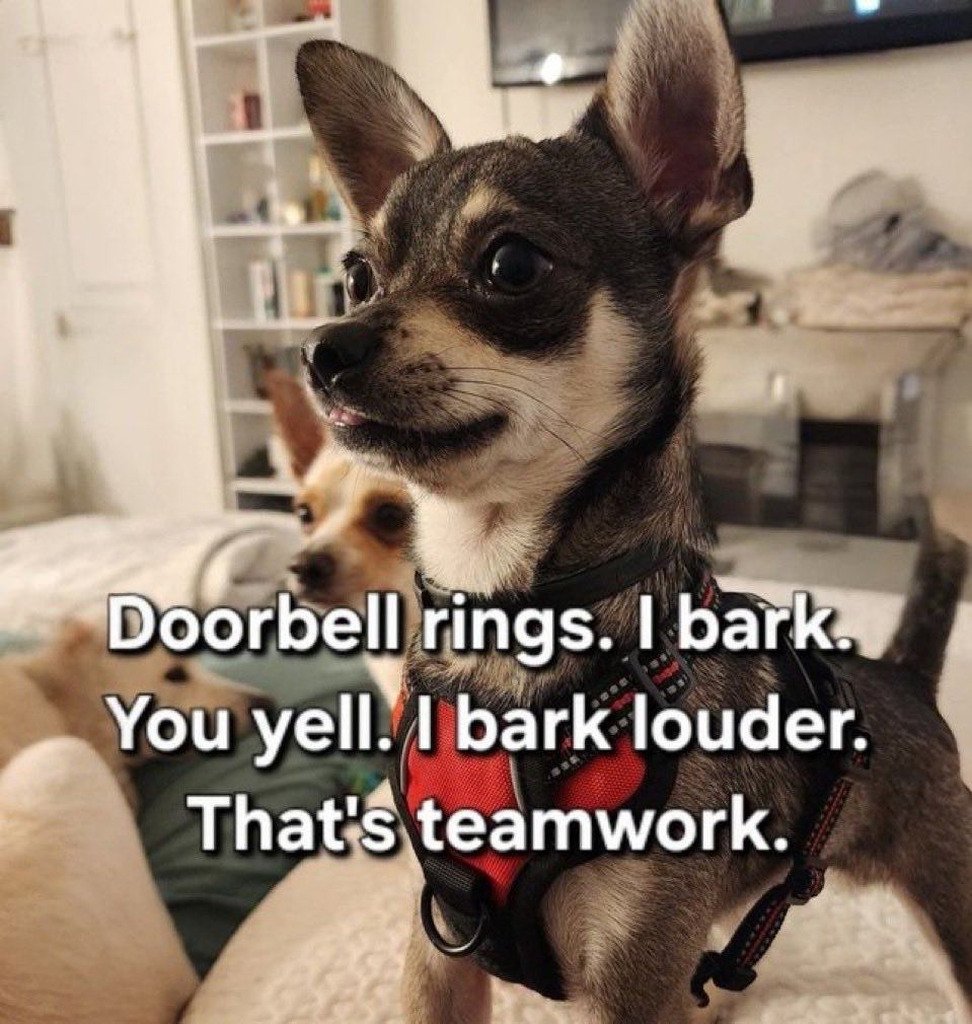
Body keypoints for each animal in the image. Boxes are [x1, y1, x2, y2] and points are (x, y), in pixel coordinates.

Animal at [293, 3, 972, 1021]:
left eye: (510, 265)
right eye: (357, 277)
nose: (321, 349)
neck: (507, 613)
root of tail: (907, 682)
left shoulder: (631, 976)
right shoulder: (441, 941)